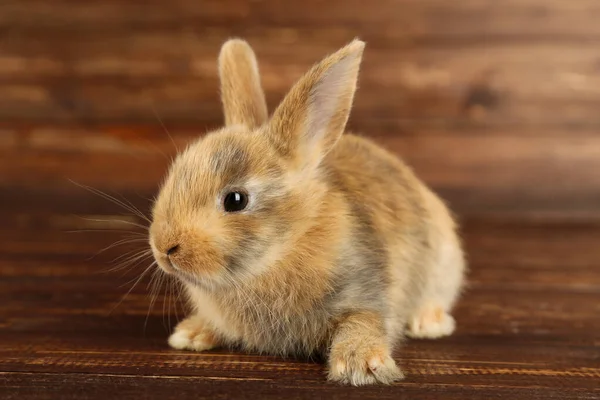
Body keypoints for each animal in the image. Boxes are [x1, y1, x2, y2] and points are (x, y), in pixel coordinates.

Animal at [148, 39, 466, 386]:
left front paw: (361, 365)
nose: (164, 248)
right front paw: (190, 334)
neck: (284, 249)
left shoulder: (366, 288)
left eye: (235, 199)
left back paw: (429, 323)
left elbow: (363, 321)